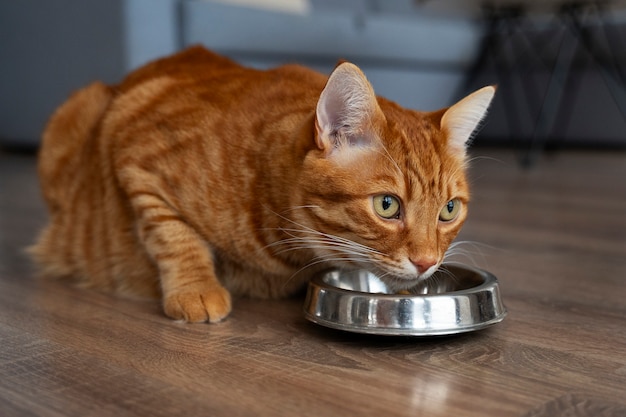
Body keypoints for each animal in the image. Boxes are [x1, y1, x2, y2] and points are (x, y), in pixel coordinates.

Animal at [29, 47, 494, 324]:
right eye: (386, 205)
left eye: (449, 210)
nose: (427, 262)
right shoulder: (133, 145)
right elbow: (173, 235)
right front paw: (196, 289)